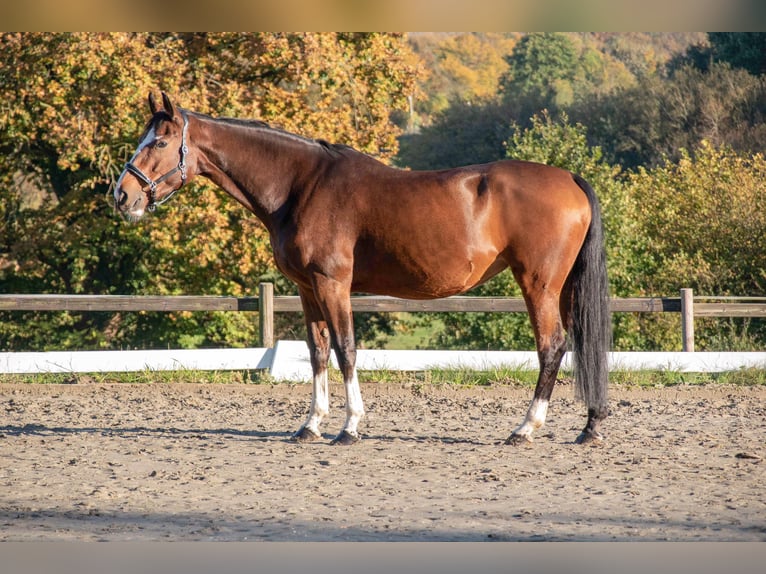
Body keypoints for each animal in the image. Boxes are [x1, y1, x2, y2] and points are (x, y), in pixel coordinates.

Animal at [114, 93, 612, 446]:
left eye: (159, 142)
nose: (122, 195)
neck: (301, 186)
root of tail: (569, 179)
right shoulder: (308, 289)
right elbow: (317, 352)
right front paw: (311, 425)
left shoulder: (333, 284)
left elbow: (346, 349)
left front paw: (350, 426)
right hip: (564, 287)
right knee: (581, 341)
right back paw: (590, 427)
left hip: (538, 284)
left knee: (552, 346)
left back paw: (525, 428)